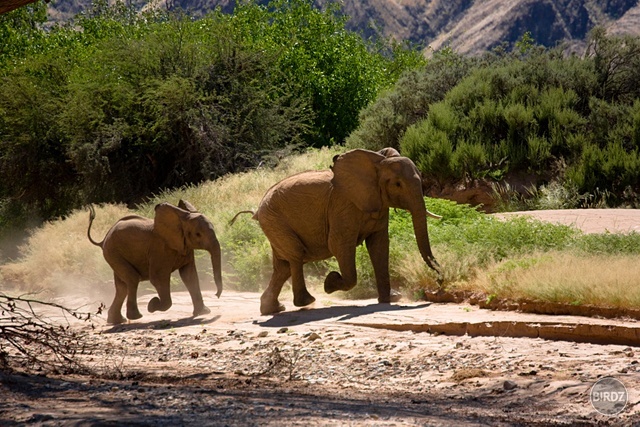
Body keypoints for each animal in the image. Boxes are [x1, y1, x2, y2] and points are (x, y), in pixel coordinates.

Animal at [87, 201, 222, 324]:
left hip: (114, 254)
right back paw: (136, 317)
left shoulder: (185, 247)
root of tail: (104, 239)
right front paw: (152, 305)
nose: (216, 295)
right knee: (132, 279)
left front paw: (203, 312)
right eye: (198, 234)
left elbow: (189, 275)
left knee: (122, 287)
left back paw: (117, 321)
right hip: (113, 253)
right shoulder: (160, 250)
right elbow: (158, 278)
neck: (181, 218)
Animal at [244, 149, 440, 316]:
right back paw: (305, 302)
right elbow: (339, 244)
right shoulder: (343, 205)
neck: (376, 162)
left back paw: (272, 309)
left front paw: (391, 298)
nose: (439, 283)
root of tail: (258, 209)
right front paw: (329, 283)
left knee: (283, 266)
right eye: (398, 184)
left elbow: (379, 246)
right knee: (296, 255)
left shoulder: (378, 203)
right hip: (274, 220)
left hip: (273, 223)